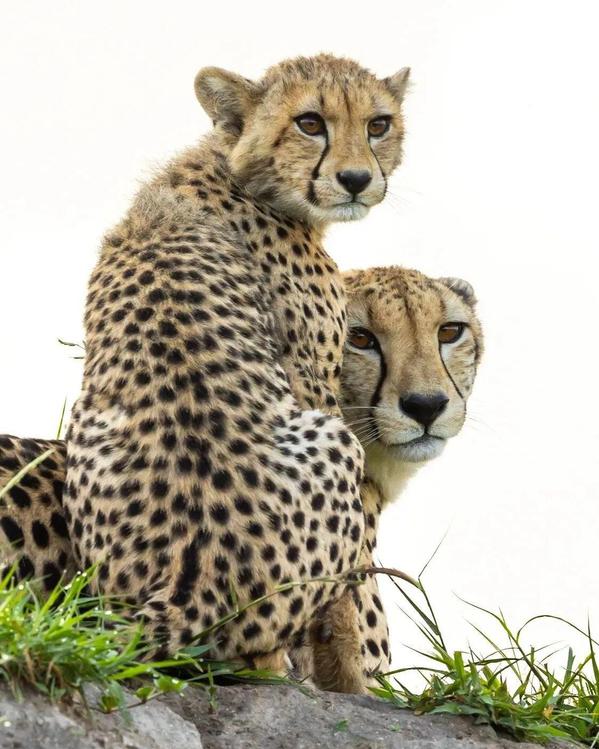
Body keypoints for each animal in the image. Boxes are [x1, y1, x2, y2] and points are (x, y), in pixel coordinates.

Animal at [0, 55, 411, 688]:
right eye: (310, 122)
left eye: (378, 124)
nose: (356, 180)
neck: (236, 168)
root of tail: (185, 584)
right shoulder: (314, 384)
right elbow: (352, 588)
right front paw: (353, 679)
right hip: (332, 439)